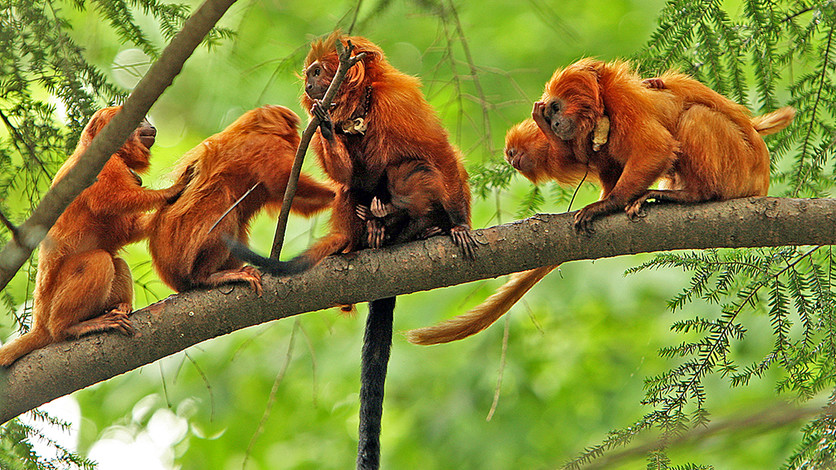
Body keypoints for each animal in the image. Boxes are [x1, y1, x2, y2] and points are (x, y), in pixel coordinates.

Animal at [0, 107, 183, 368]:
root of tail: (40, 321)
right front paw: (170, 192)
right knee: (100, 261)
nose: (151, 127)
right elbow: (110, 199)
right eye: (141, 120)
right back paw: (70, 327)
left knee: (117, 262)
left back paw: (118, 307)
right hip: (54, 304)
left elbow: (124, 230)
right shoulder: (103, 164)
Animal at [147, 105, 334, 296]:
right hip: (181, 248)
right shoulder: (265, 143)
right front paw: (335, 190)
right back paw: (206, 276)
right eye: (294, 130)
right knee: (223, 207)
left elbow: (299, 201)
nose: (298, 138)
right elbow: (280, 179)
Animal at [406, 64, 796, 344]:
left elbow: (655, 147)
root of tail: (760, 177)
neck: (601, 112)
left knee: (696, 116)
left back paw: (693, 194)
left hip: (737, 166)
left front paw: (605, 207)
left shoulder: (623, 100)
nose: (553, 122)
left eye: (556, 108)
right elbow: (609, 168)